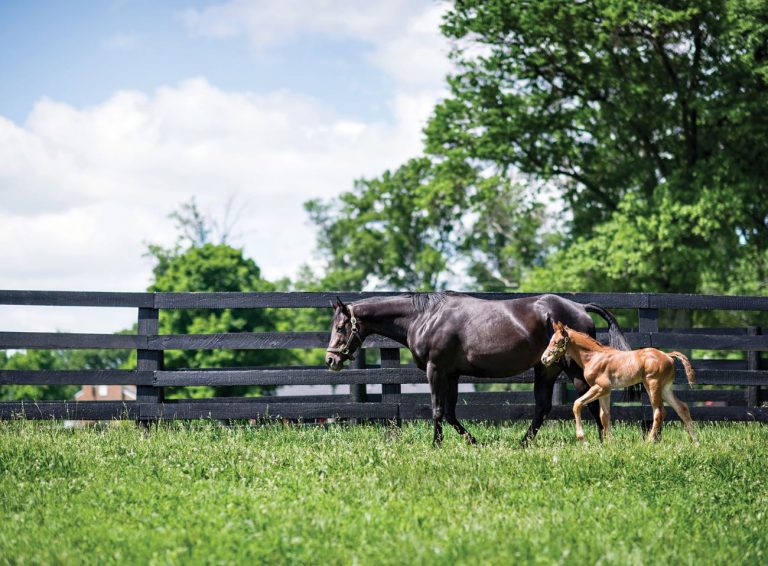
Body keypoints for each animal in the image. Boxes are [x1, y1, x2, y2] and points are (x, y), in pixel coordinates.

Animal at [324, 292, 632, 448]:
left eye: (340, 327)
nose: (331, 360)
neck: (425, 317)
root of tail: (580, 306)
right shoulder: (452, 374)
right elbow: (449, 412)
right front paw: (473, 441)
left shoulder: (436, 370)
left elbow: (437, 409)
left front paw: (436, 445)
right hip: (546, 370)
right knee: (544, 407)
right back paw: (522, 444)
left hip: (571, 369)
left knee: (589, 400)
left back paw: (601, 441)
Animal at [540, 322, 696, 446]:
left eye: (557, 341)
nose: (544, 359)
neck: (593, 357)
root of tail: (668, 355)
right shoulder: (605, 391)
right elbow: (604, 415)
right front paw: (610, 444)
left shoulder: (600, 387)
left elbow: (577, 404)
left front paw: (583, 440)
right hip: (665, 388)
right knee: (682, 407)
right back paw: (695, 442)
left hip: (653, 385)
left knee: (659, 412)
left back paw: (649, 442)